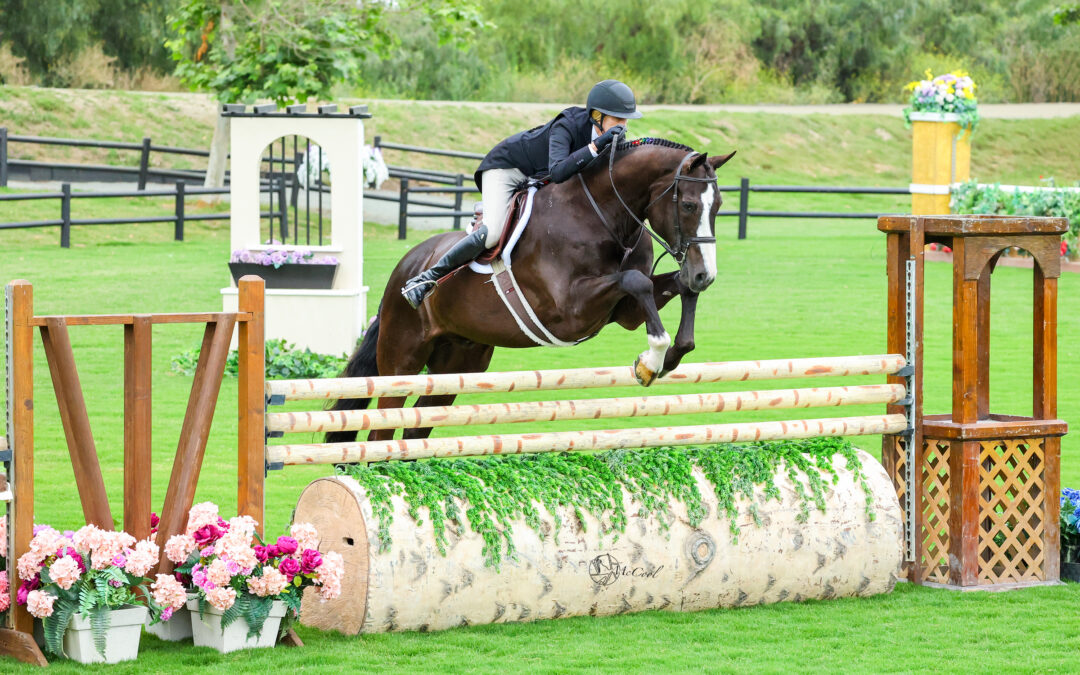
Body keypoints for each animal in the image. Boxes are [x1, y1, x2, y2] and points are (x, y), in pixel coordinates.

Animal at [326, 137, 734, 442]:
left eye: (718, 206)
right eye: (688, 205)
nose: (705, 274)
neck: (603, 214)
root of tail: (404, 269)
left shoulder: (625, 313)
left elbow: (665, 287)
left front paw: (672, 355)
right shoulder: (569, 312)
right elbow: (637, 282)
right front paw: (651, 362)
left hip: (457, 362)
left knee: (416, 428)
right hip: (402, 360)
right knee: (382, 429)